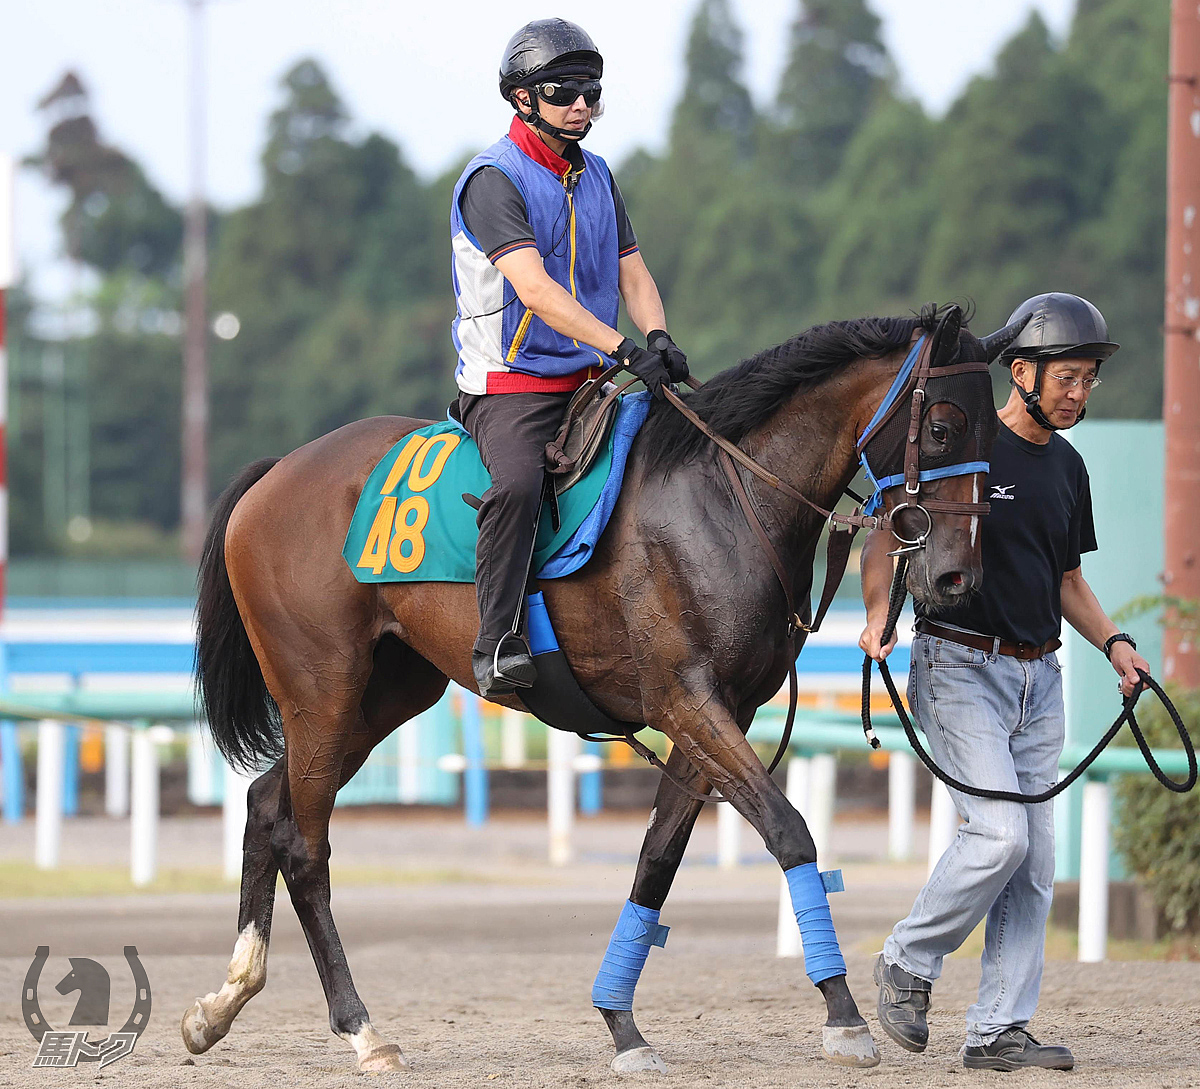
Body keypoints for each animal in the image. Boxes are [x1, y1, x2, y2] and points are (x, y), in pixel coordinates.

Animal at [177, 304, 1022, 1069]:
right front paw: (844, 1014)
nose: (957, 576)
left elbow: (657, 860)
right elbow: (789, 830)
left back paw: (223, 1000)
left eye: (995, 434)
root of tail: (276, 471)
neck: (724, 494)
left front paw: (621, 1022)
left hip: (384, 695)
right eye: (943, 425)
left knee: (267, 803)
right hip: (322, 690)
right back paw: (362, 1028)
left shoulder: (717, 713)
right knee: (306, 843)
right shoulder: (686, 700)